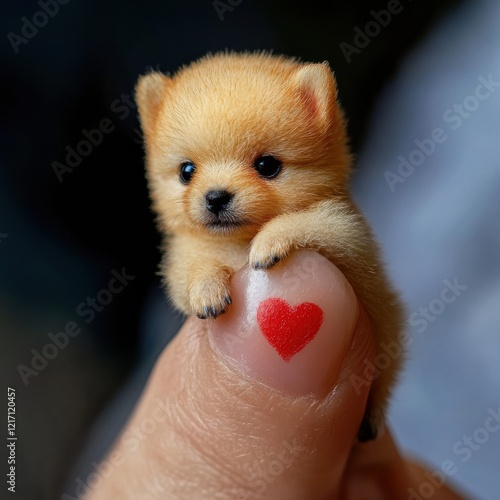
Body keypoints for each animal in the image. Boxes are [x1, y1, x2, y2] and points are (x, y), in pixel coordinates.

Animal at [135, 51, 404, 442]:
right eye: (187, 171)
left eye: (267, 165)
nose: (215, 197)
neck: (237, 241)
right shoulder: (185, 256)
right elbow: (191, 271)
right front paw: (207, 290)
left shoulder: (348, 233)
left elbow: (305, 222)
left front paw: (270, 241)